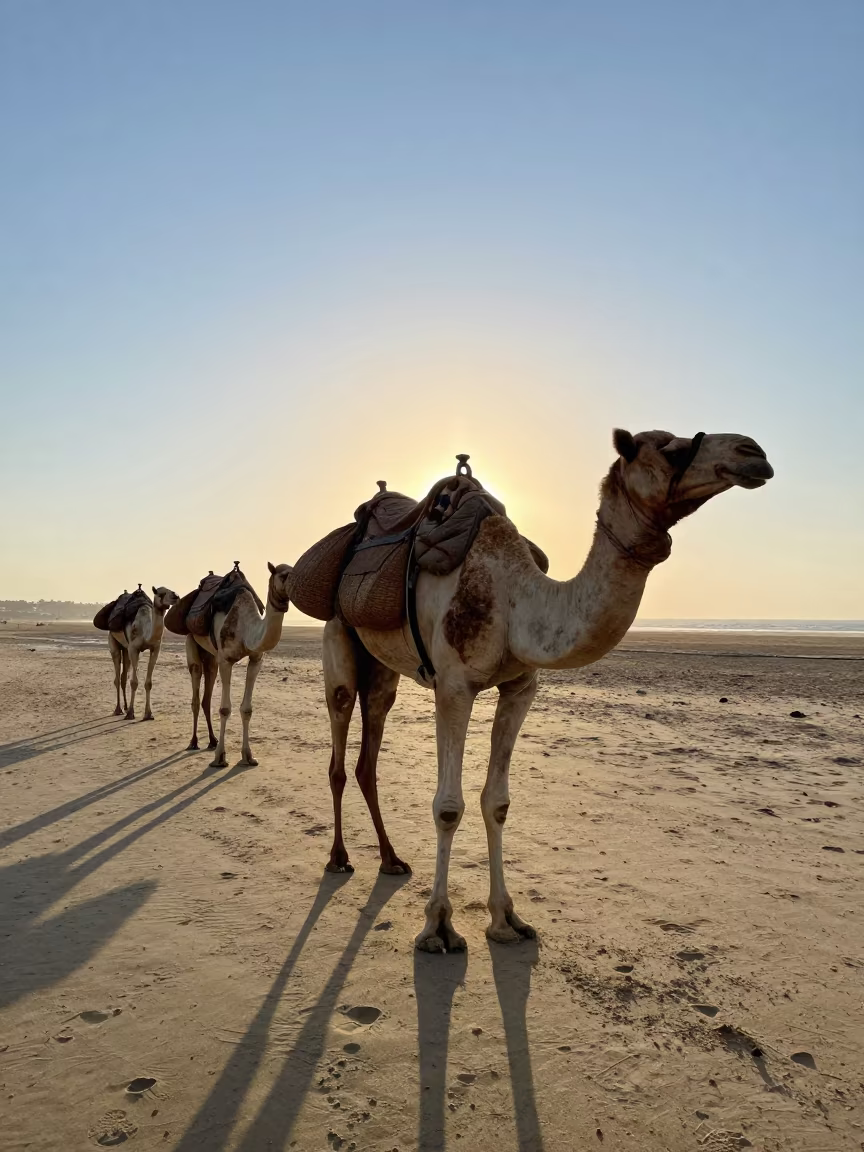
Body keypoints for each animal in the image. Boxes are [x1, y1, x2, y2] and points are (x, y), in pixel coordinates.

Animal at [109, 585, 179, 720]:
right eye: (160, 593)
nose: (176, 596)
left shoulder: (155, 648)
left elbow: (149, 683)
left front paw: (148, 714)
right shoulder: (133, 649)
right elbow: (134, 682)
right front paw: (131, 713)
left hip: (125, 649)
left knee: (123, 676)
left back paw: (125, 707)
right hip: (113, 640)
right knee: (117, 676)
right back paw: (118, 709)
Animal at [184, 563, 293, 767]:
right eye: (283, 575)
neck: (246, 628)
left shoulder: (256, 659)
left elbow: (247, 709)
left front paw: (248, 756)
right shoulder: (226, 660)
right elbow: (225, 709)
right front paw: (219, 757)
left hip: (212, 657)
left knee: (206, 694)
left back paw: (212, 741)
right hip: (191, 640)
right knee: (195, 686)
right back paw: (194, 742)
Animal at [321, 428, 774, 952]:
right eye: (666, 446)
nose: (752, 452)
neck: (516, 599)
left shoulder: (521, 687)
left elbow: (496, 801)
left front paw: (507, 921)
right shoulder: (453, 685)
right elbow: (448, 807)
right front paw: (438, 927)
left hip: (382, 667)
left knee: (368, 752)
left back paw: (391, 859)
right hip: (339, 632)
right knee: (339, 743)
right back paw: (338, 857)